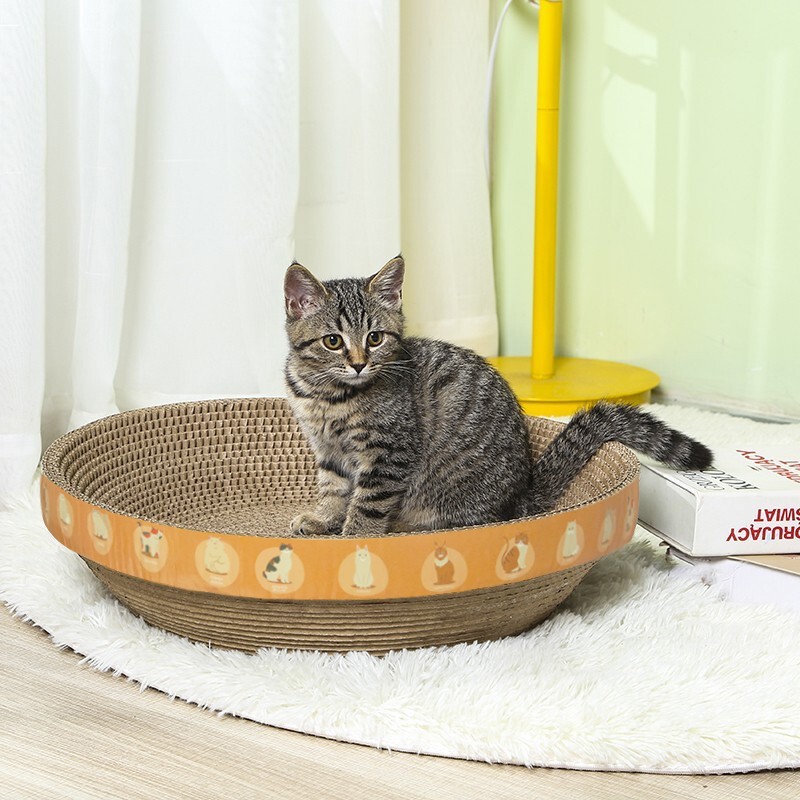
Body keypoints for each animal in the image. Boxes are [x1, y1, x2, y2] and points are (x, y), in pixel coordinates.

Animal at [283, 256, 712, 537]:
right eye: (333, 341)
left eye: (375, 338)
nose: (358, 364)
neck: (329, 396)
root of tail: (518, 495)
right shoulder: (327, 449)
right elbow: (334, 487)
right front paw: (323, 518)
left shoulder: (390, 452)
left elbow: (368, 503)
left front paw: (354, 537)